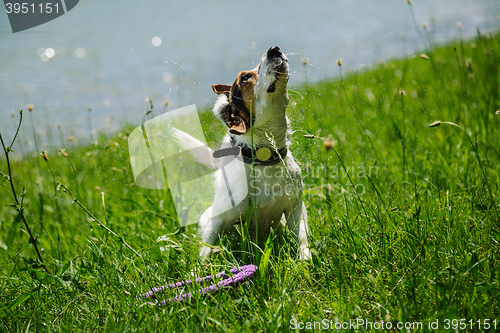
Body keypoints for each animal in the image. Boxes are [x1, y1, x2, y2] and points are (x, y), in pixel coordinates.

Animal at [176, 46, 308, 260]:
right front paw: (199, 267)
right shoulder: (218, 221)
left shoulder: (295, 208)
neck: (263, 157)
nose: (274, 49)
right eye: (245, 78)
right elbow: (205, 251)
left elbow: (302, 239)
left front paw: (306, 261)